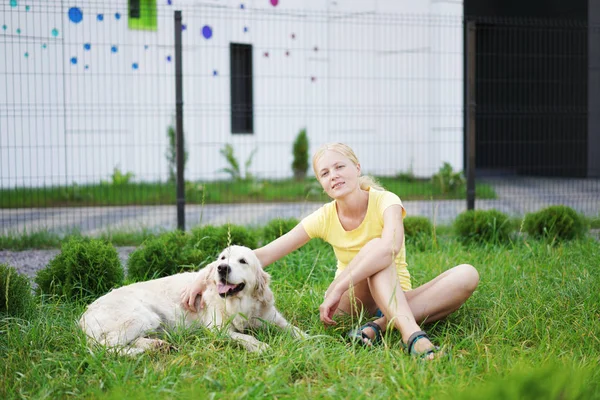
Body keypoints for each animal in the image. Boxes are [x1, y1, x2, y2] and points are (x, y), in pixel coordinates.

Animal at [79, 245, 304, 354]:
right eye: (223, 258)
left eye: (243, 261)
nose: (222, 268)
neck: (240, 304)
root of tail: (83, 316)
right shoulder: (218, 330)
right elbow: (245, 337)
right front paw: (260, 347)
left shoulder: (275, 319)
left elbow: (295, 330)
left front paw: (310, 341)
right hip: (141, 317)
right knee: (105, 345)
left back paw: (156, 345)